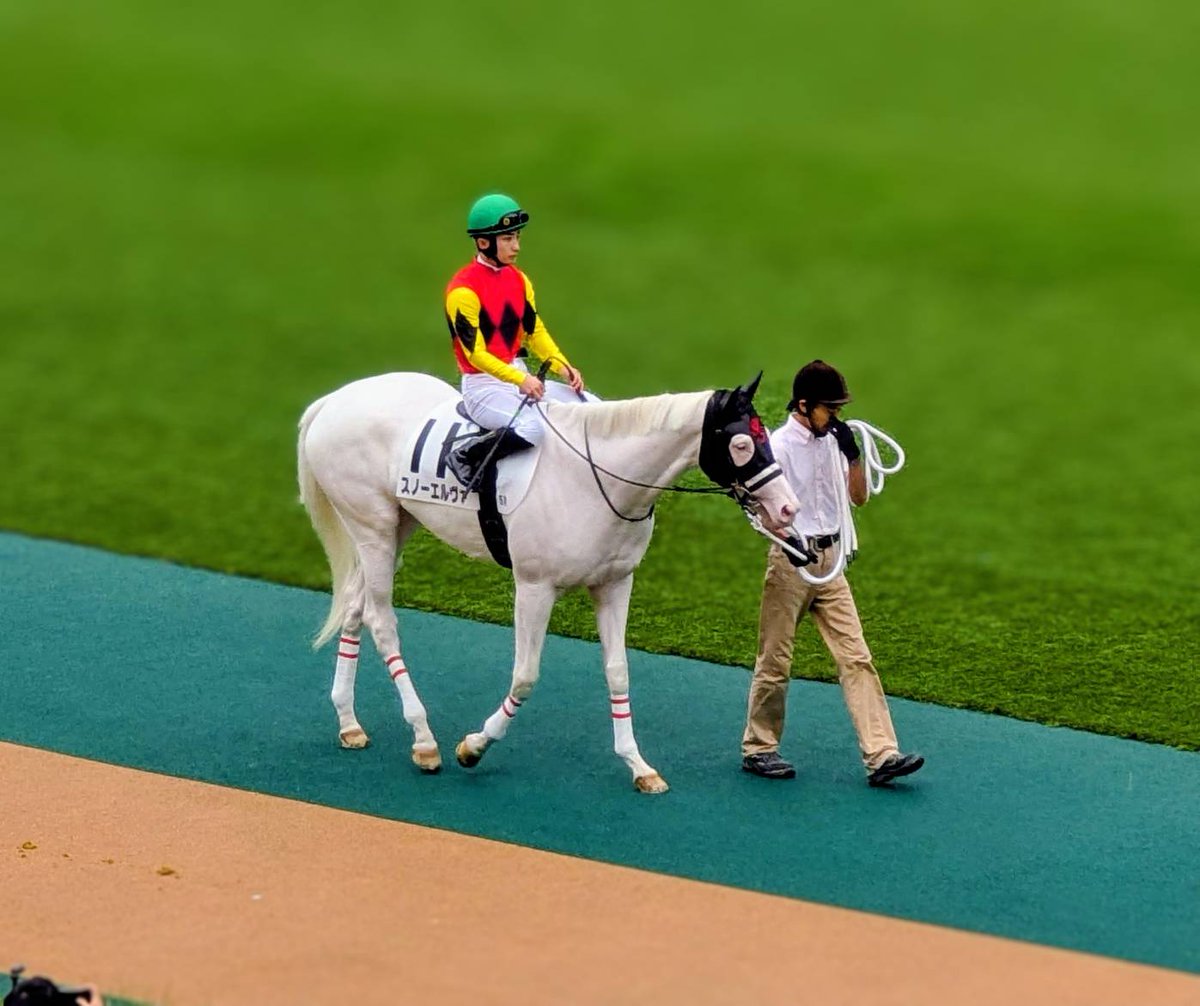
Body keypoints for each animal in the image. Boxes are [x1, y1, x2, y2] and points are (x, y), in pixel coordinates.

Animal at [296, 371, 798, 793]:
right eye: (742, 443)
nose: (789, 509)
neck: (597, 479)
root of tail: (333, 400)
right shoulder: (534, 586)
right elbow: (525, 676)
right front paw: (474, 746)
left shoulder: (615, 584)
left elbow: (618, 671)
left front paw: (638, 765)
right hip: (372, 526)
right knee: (381, 620)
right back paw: (423, 740)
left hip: (397, 526)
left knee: (356, 606)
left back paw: (348, 722)